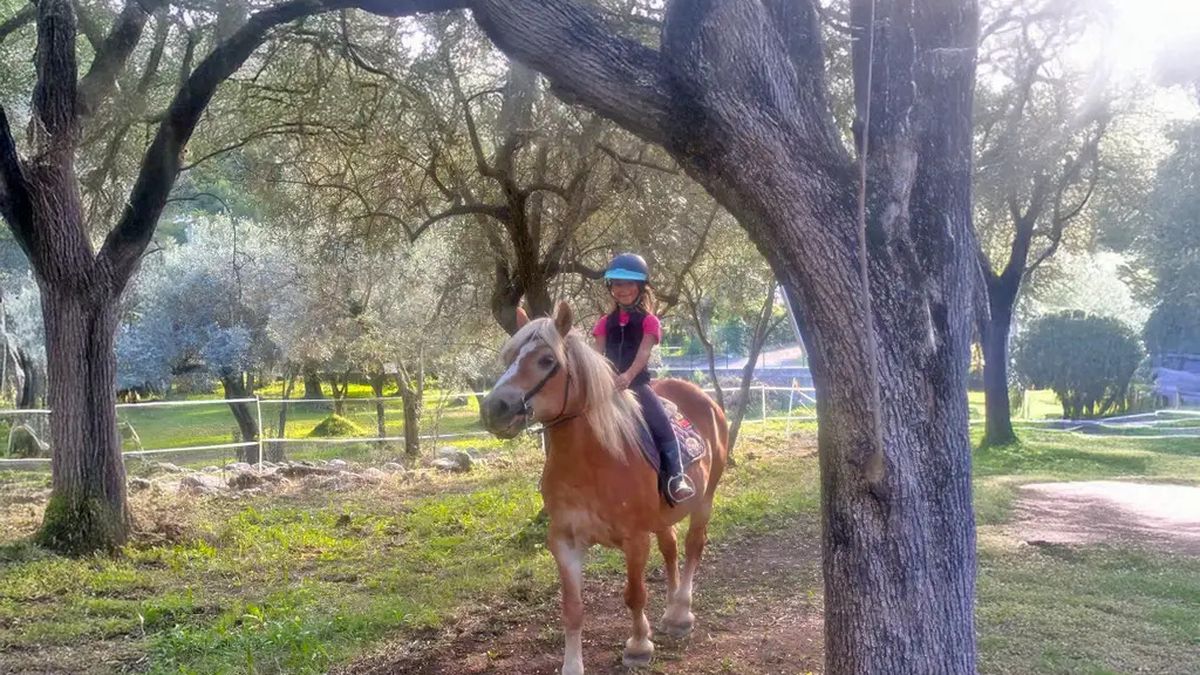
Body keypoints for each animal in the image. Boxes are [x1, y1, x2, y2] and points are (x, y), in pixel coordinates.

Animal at [480, 301, 729, 674]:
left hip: (704, 501)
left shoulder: (635, 539)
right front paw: (572, 665)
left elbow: (635, 594)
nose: (494, 409)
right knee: (671, 548)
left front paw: (639, 646)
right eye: (509, 356)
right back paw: (671, 610)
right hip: (664, 515)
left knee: (692, 546)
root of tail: (704, 398)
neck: (591, 461)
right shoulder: (565, 542)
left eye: (547, 360)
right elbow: (572, 608)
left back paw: (681, 613)